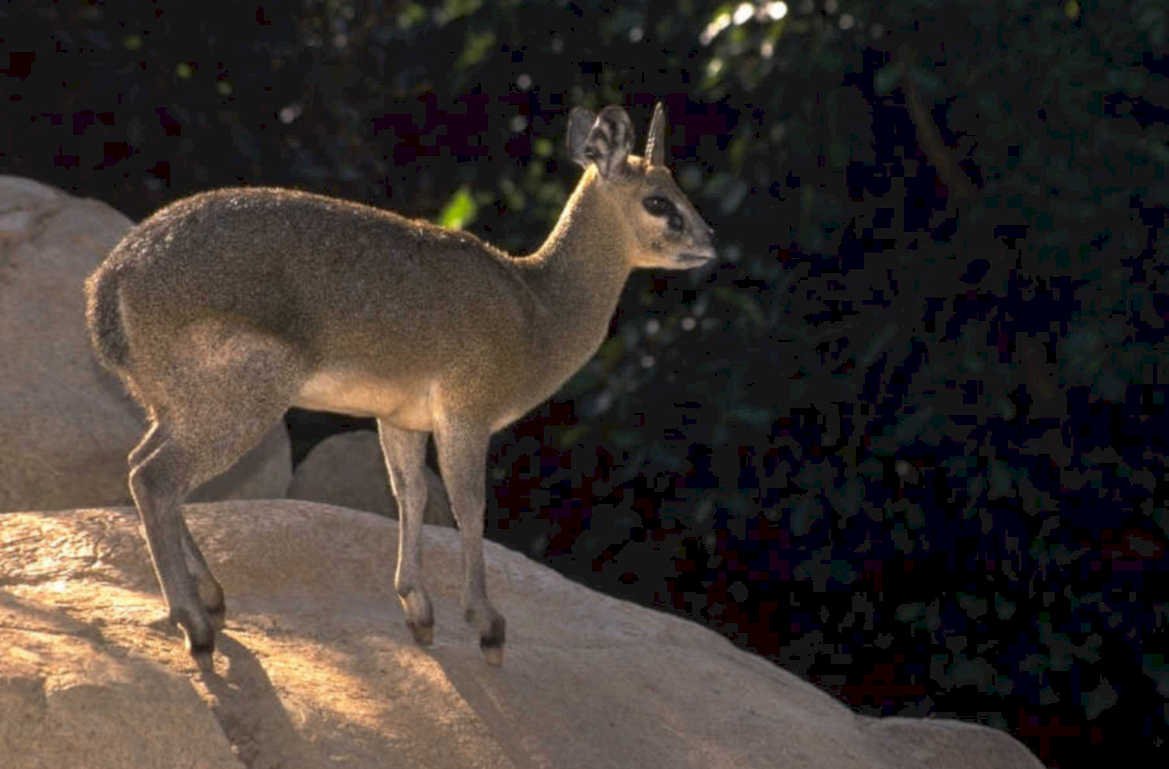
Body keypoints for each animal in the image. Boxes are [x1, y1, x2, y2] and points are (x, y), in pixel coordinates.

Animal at [85, 102, 716, 667]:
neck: (536, 310)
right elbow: (469, 505)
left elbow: (410, 494)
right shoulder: (467, 413)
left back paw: (213, 599)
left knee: (141, 464)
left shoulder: (400, 417)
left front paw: (419, 611)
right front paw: (487, 625)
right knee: (155, 478)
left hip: (173, 402)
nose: (710, 241)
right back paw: (195, 626)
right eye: (658, 199)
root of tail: (106, 287)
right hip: (243, 395)